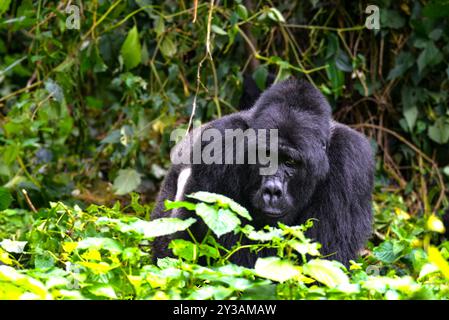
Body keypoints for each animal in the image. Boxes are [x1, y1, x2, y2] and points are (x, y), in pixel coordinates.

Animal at [151, 78, 374, 268]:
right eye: (266, 156)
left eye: (290, 162)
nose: (272, 191)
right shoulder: (219, 143)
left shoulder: (351, 159)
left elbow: (323, 258)